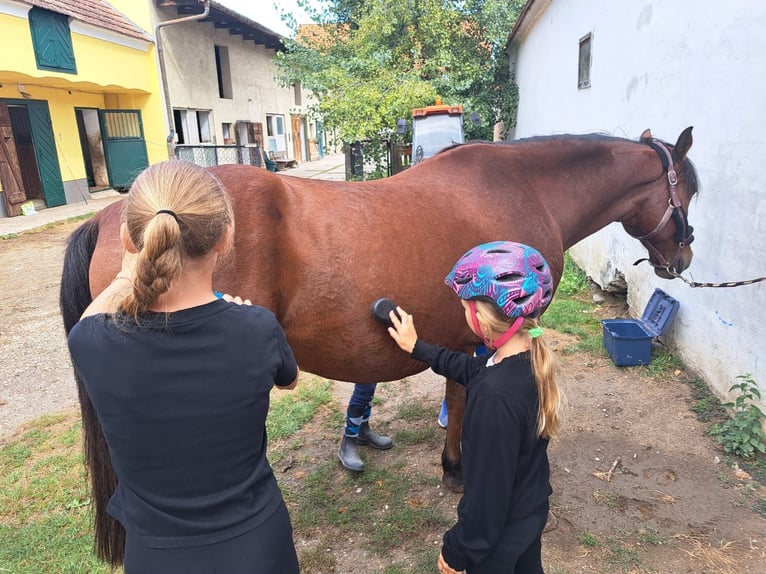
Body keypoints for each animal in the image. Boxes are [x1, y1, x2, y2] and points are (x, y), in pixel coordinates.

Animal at [60, 127, 698, 564]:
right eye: (689, 189)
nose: (684, 256)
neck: (522, 190)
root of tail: (117, 216)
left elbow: (456, 393)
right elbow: (467, 401)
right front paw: (458, 471)